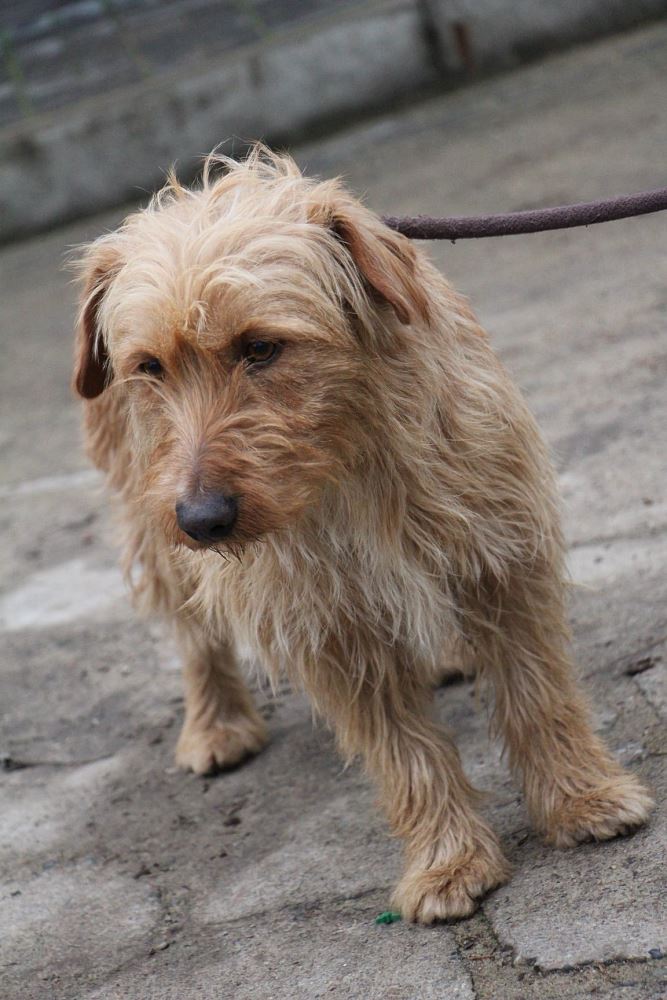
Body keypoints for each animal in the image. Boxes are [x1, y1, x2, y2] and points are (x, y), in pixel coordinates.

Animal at [72, 145, 653, 923]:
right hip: (149, 523)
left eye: (261, 348)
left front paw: (579, 798)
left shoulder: (501, 555)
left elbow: (538, 696)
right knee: (194, 635)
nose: (201, 520)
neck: (346, 464)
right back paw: (216, 724)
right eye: (150, 368)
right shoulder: (329, 625)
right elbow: (404, 754)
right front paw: (448, 860)